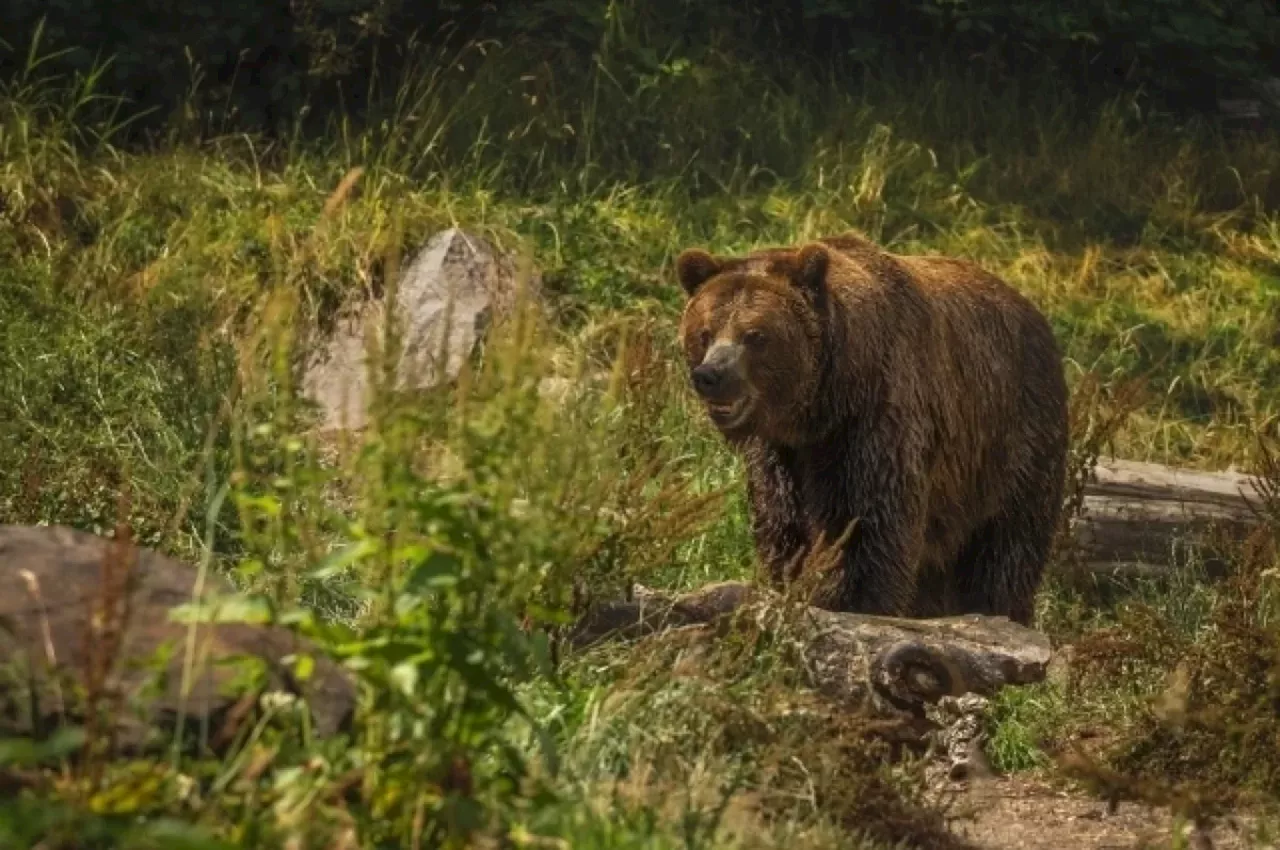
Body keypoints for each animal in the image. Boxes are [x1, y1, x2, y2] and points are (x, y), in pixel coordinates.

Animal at [675, 230, 1064, 624]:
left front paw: (842, 598)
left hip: (1010, 443)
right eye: (704, 332)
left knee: (1005, 547)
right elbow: (782, 524)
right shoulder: (781, 452)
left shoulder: (872, 423)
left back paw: (998, 609)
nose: (711, 375)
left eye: (755, 335)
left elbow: (863, 524)